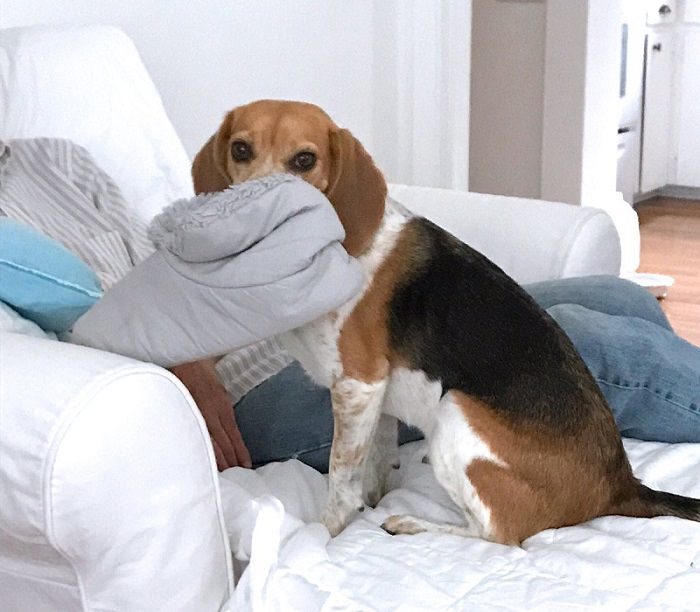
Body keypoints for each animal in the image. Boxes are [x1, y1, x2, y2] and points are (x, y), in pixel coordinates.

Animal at [193, 100, 700, 544]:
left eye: (305, 160)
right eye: (240, 149)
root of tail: (620, 484)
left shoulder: (358, 384)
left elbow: (341, 475)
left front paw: (329, 530)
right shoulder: (375, 399)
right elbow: (374, 464)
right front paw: (370, 501)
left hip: (454, 411)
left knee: (499, 534)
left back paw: (412, 524)